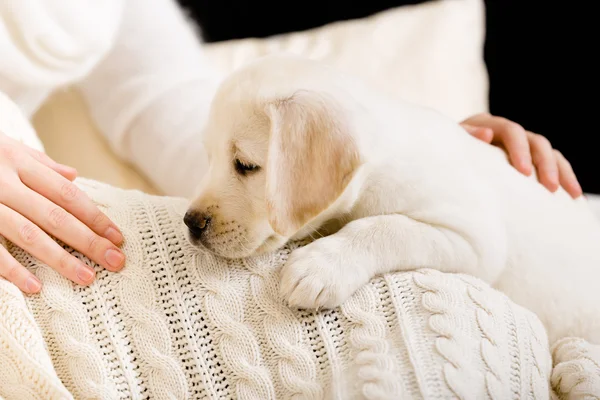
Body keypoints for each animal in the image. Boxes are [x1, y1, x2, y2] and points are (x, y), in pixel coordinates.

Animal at [185, 54, 600, 346]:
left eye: (246, 165)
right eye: (209, 157)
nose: (190, 223)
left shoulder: (473, 238)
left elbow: (384, 226)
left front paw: (322, 265)